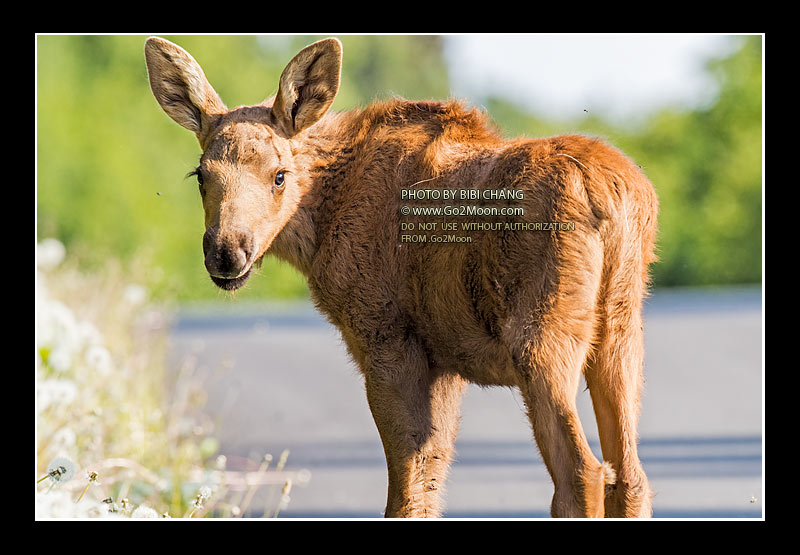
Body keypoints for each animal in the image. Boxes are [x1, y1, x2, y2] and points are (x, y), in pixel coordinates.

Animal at [145, 36, 658, 518]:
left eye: (279, 175)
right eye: (200, 175)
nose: (226, 252)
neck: (321, 222)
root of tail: (610, 195)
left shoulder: (386, 339)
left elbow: (407, 486)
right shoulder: (445, 360)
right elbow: (430, 477)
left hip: (543, 333)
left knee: (582, 470)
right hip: (620, 330)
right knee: (630, 474)